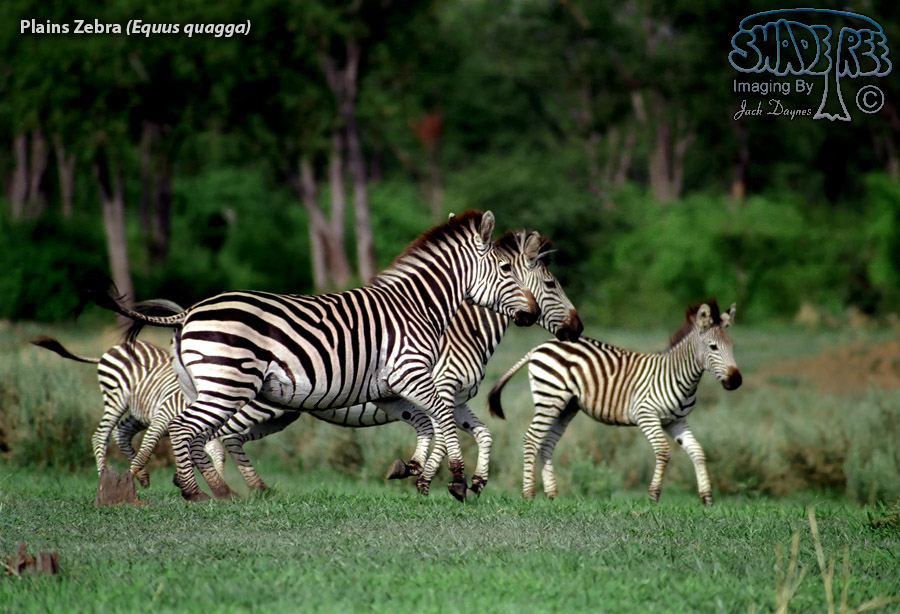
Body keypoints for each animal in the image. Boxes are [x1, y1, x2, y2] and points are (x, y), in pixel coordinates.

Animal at [31, 336, 225, 488]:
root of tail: (111, 350)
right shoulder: (165, 416)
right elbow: (147, 449)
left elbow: (215, 451)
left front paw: (218, 482)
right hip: (116, 399)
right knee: (101, 435)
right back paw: (104, 478)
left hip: (141, 411)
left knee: (121, 431)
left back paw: (141, 476)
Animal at [88, 210, 540, 502]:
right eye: (505, 270)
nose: (533, 314)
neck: (418, 306)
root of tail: (191, 311)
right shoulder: (411, 374)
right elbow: (442, 421)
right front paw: (458, 480)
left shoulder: (391, 390)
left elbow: (430, 425)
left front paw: (417, 471)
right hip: (228, 384)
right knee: (186, 430)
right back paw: (195, 493)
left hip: (209, 386)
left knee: (198, 434)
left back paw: (222, 491)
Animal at [210, 229, 583, 496]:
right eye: (551, 283)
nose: (578, 328)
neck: (463, 332)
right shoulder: (440, 389)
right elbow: (441, 435)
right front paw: (427, 482)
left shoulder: (455, 399)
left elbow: (481, 432)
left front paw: (471, 480)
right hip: (253, 400)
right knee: (217, 433)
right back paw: (223, 489)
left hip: (280, 412)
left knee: (230, 437)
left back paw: (249, 489)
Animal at [488, 301, 742, 505]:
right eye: (713, 347)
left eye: (732, 346)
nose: (736, 381)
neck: (678, 376)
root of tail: (540, 346)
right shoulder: (647, 415)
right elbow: (663, 451)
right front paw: (653, 495)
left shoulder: (676, 421)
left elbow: (697, 451)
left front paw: (707, 497)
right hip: (550, 397)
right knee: (531, 439)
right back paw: (528, 494)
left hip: (566, 406)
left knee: (546, 442)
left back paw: (552, 494)